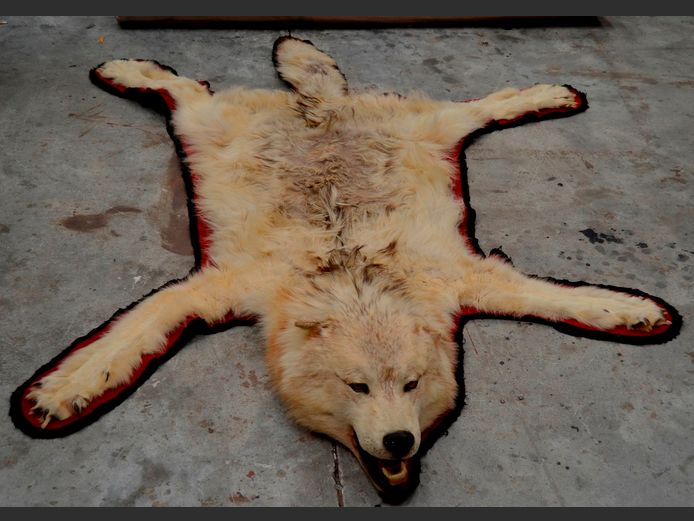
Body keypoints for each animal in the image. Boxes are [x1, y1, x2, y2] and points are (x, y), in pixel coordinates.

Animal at [13, 36, 679, 503]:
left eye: (412, 385)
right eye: (357, 387)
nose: (400, 442)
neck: (353, 277)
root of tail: (323, 109)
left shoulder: (465, 279)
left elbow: (555, 298)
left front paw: (633, 311)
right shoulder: (219, 288)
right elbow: (128, 335)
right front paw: (62, 391)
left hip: (430, 131)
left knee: (479, 107)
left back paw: (548, 95)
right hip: (205, 127)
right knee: (185, 90)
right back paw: (128, 70)